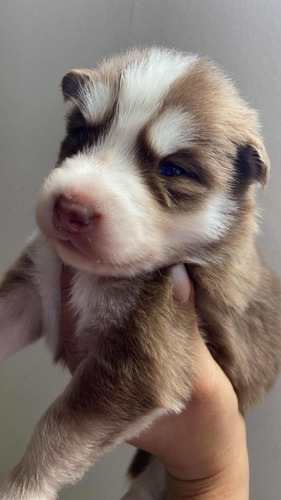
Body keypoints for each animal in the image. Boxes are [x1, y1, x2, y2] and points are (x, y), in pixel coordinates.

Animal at [0, 47, 280, 500]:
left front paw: (20, 488)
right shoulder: (35, 279)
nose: (71, 208)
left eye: (173, 170)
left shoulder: (142, 358)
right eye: (80, 133)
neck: (92, 276)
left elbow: (58, 428)